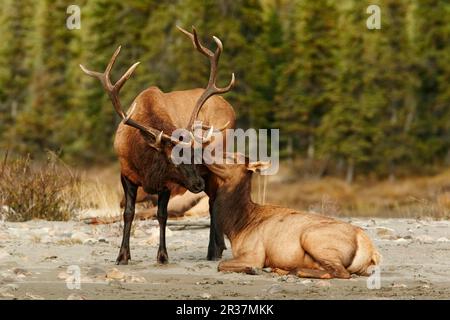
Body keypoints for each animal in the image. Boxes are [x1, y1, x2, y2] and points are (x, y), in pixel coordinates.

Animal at [81, 26, 236, 264]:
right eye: (173, 158)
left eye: (195, 155)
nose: (197, 183)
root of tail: (231, 108)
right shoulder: (125, 174)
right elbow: (128, 213)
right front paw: (122, 255)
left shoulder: (167, 184)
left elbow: (162, 215)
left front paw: (162, 255)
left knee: (213, 203)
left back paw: (213, 250)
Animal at [207, 154, 380, 278]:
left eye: (232, 157)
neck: (236, 226)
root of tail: (370, 251)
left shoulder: (254, 254)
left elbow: (220, 265)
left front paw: (253, 270)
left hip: (312, 237)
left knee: (341, 273)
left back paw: (294, 271)